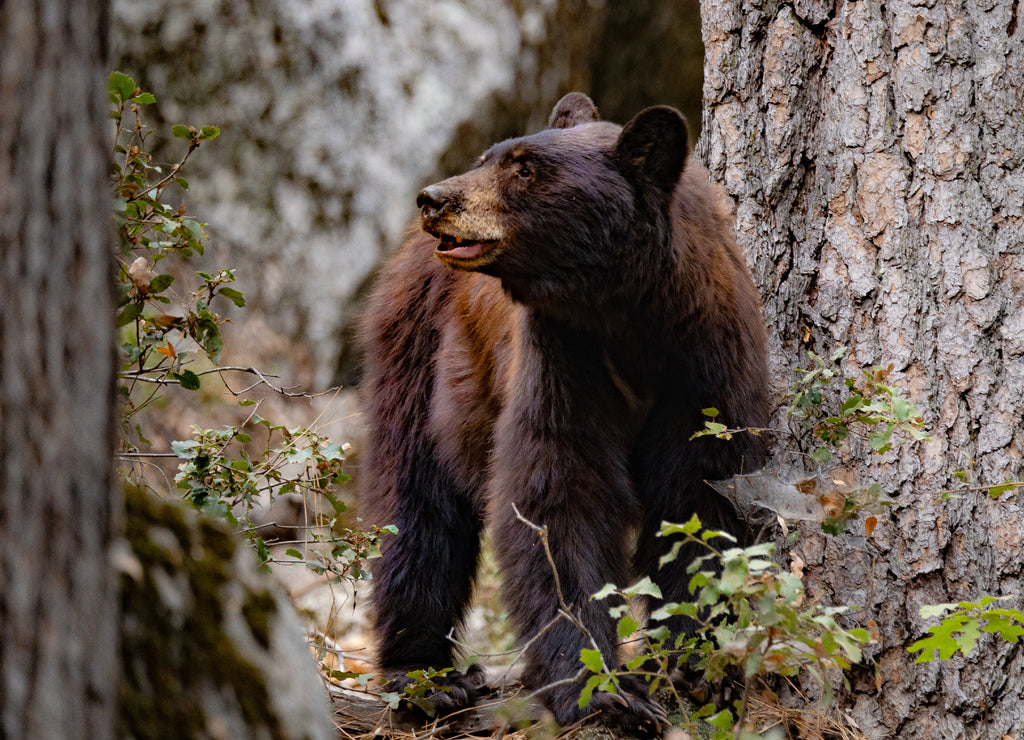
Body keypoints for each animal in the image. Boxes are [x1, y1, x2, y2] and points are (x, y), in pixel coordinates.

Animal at [359, 92, 769, 733]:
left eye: (525, 169)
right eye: (488, 156)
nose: (433, 199)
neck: (626, 315)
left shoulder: (707, 361)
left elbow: (700, 497)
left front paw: (695, 666)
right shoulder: (561, 357)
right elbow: (557, 496)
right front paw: (604, 689)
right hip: (418, 356)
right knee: (414, 506)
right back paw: (428, 677)